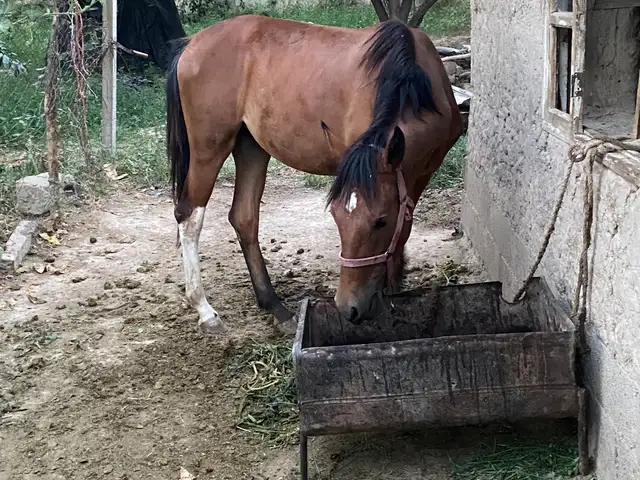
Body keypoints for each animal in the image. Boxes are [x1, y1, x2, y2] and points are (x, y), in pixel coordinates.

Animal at [166, 14, 462, 335]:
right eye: (336, 218)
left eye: (381, 221)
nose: (349, 307)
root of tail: (191, 44)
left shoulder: (418, 173)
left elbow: (403, 226)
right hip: (210, 148)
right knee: (189, 216)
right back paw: (205, 309)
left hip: (251, 147)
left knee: (244, 218)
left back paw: (274, 305)